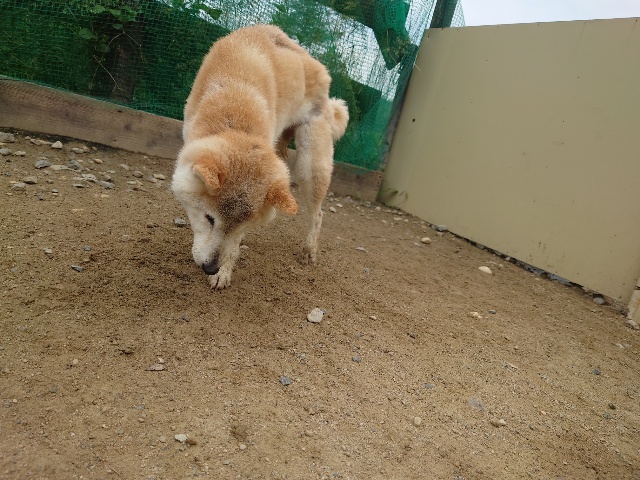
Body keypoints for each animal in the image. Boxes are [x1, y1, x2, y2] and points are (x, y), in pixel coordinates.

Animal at [171, 24, 349, 289]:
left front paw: (224, 272)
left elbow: (233, 246)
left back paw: (309, 250)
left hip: (310, 164)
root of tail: (319, 68)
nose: (210, 268)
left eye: (244, 225)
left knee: (318, 213)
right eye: (209, 218)